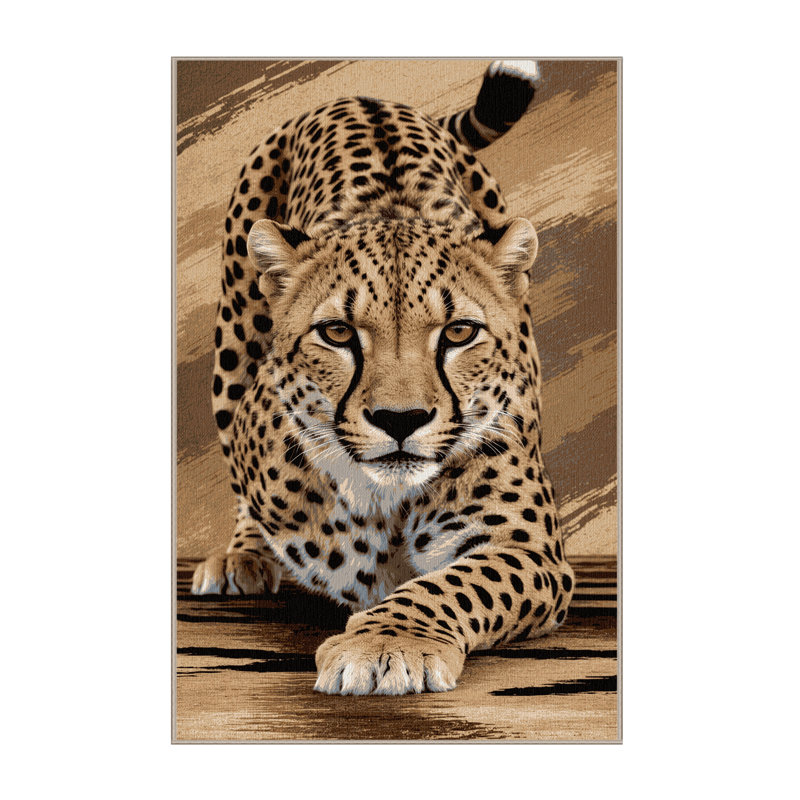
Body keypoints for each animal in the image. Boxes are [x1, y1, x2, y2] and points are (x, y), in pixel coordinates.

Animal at [191, 60, 575, 695]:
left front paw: (387, 641)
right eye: (338, 333)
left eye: (459, 333)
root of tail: (361, 96)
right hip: (233, 342)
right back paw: (242, 556)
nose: (401, 420)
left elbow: (453, 585)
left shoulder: (527, 548)